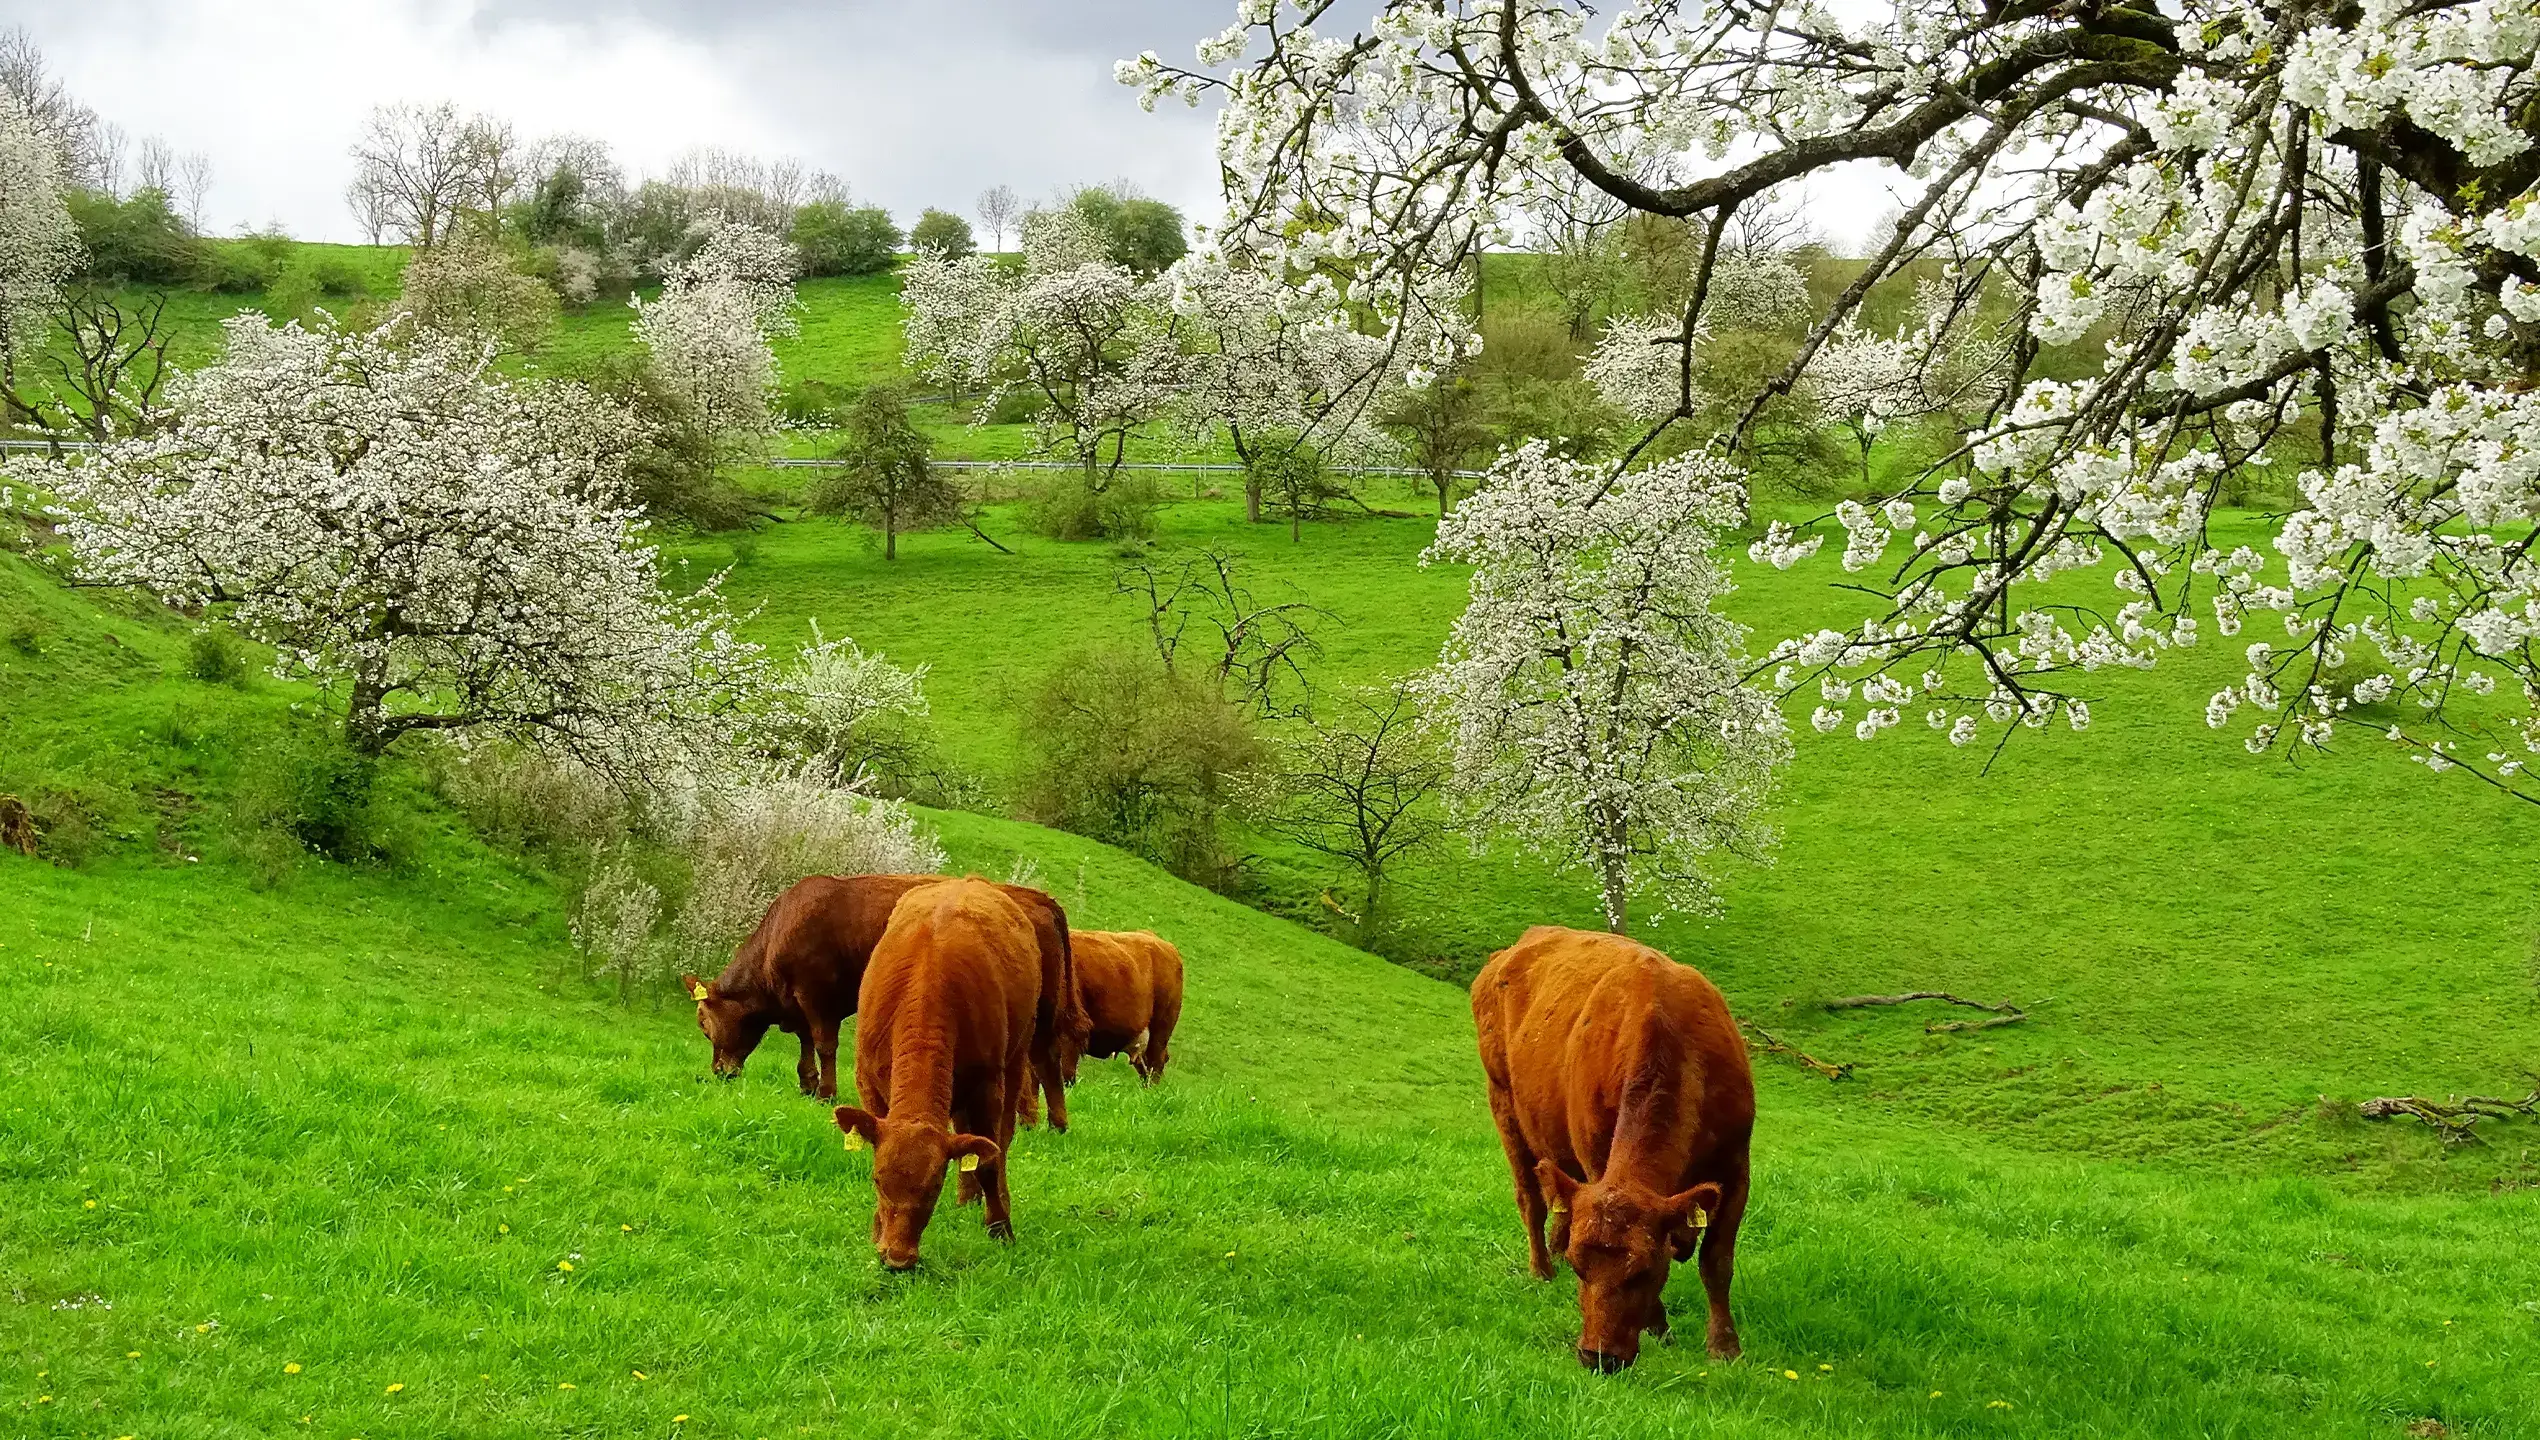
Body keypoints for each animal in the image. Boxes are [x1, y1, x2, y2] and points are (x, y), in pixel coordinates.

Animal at [675, 873, 1082, 1132]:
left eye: (703, 1024)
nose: (719, 1072)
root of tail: (1039, 898)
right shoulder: (801, 1004)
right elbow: (806, 1045)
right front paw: (808, 1084)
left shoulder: (817, 995)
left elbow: (824, 1044)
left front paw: (826, 1093)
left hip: (1043, 1009)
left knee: (1045, 1059)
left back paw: (1056, 1123)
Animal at [828, 873, 1036, 1269]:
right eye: (877, 1180)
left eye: (933, 1186)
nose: (897, 1258)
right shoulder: (869, 1084)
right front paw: (876, 1234)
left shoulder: (988, 1084)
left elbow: (988, 1161)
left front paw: (1001, 1228)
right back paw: (967, 1198)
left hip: (1017, 1058)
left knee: (1000, 1141)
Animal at [1473, 929, 1747, 1371]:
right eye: (1579, 1266)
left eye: (1645, 1270)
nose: (1597, 1356)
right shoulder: (1597, 1159)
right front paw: (1659, 1327)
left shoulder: (1736, 1166)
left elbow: (1716, 1261)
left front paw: (1724, 1347)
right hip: (1503, 1103)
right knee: (1530, 1197)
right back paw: (1541, 1268)